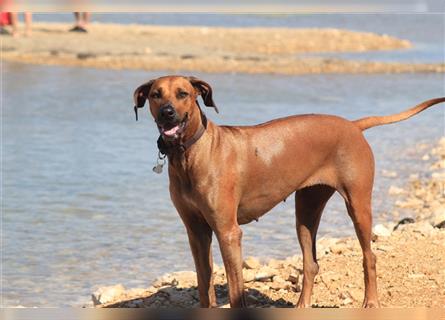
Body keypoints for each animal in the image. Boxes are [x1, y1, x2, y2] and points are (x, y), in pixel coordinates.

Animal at [133, 75, 444, 308]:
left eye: (183, 93)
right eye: (156, 95)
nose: (167, 112)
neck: (190, 154)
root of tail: (353, 126)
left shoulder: (228, 231)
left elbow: (235, 289)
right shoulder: (196, 231)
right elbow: (203, 283)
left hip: (358, 204)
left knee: (370, 256)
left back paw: (371, 303)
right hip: (306, 208)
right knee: (311, 262)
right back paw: (302, 306)